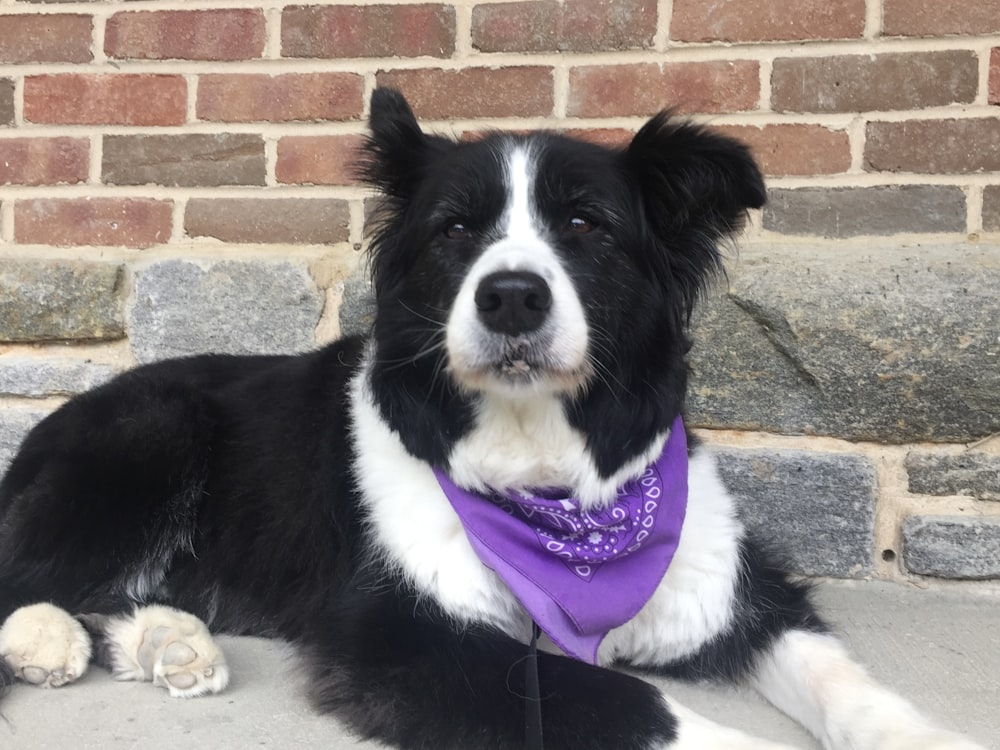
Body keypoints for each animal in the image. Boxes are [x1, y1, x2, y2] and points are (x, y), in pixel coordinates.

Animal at [0, 89, 984, 750]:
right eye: (454, 230)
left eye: (586, 225)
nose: (511, 295)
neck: (543, 469)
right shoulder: (409, 640)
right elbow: (640, 708)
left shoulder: (730, 585)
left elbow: (840, 673)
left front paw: (927, 738)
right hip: (150, 432)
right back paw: (50, 635)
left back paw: (169, 642)